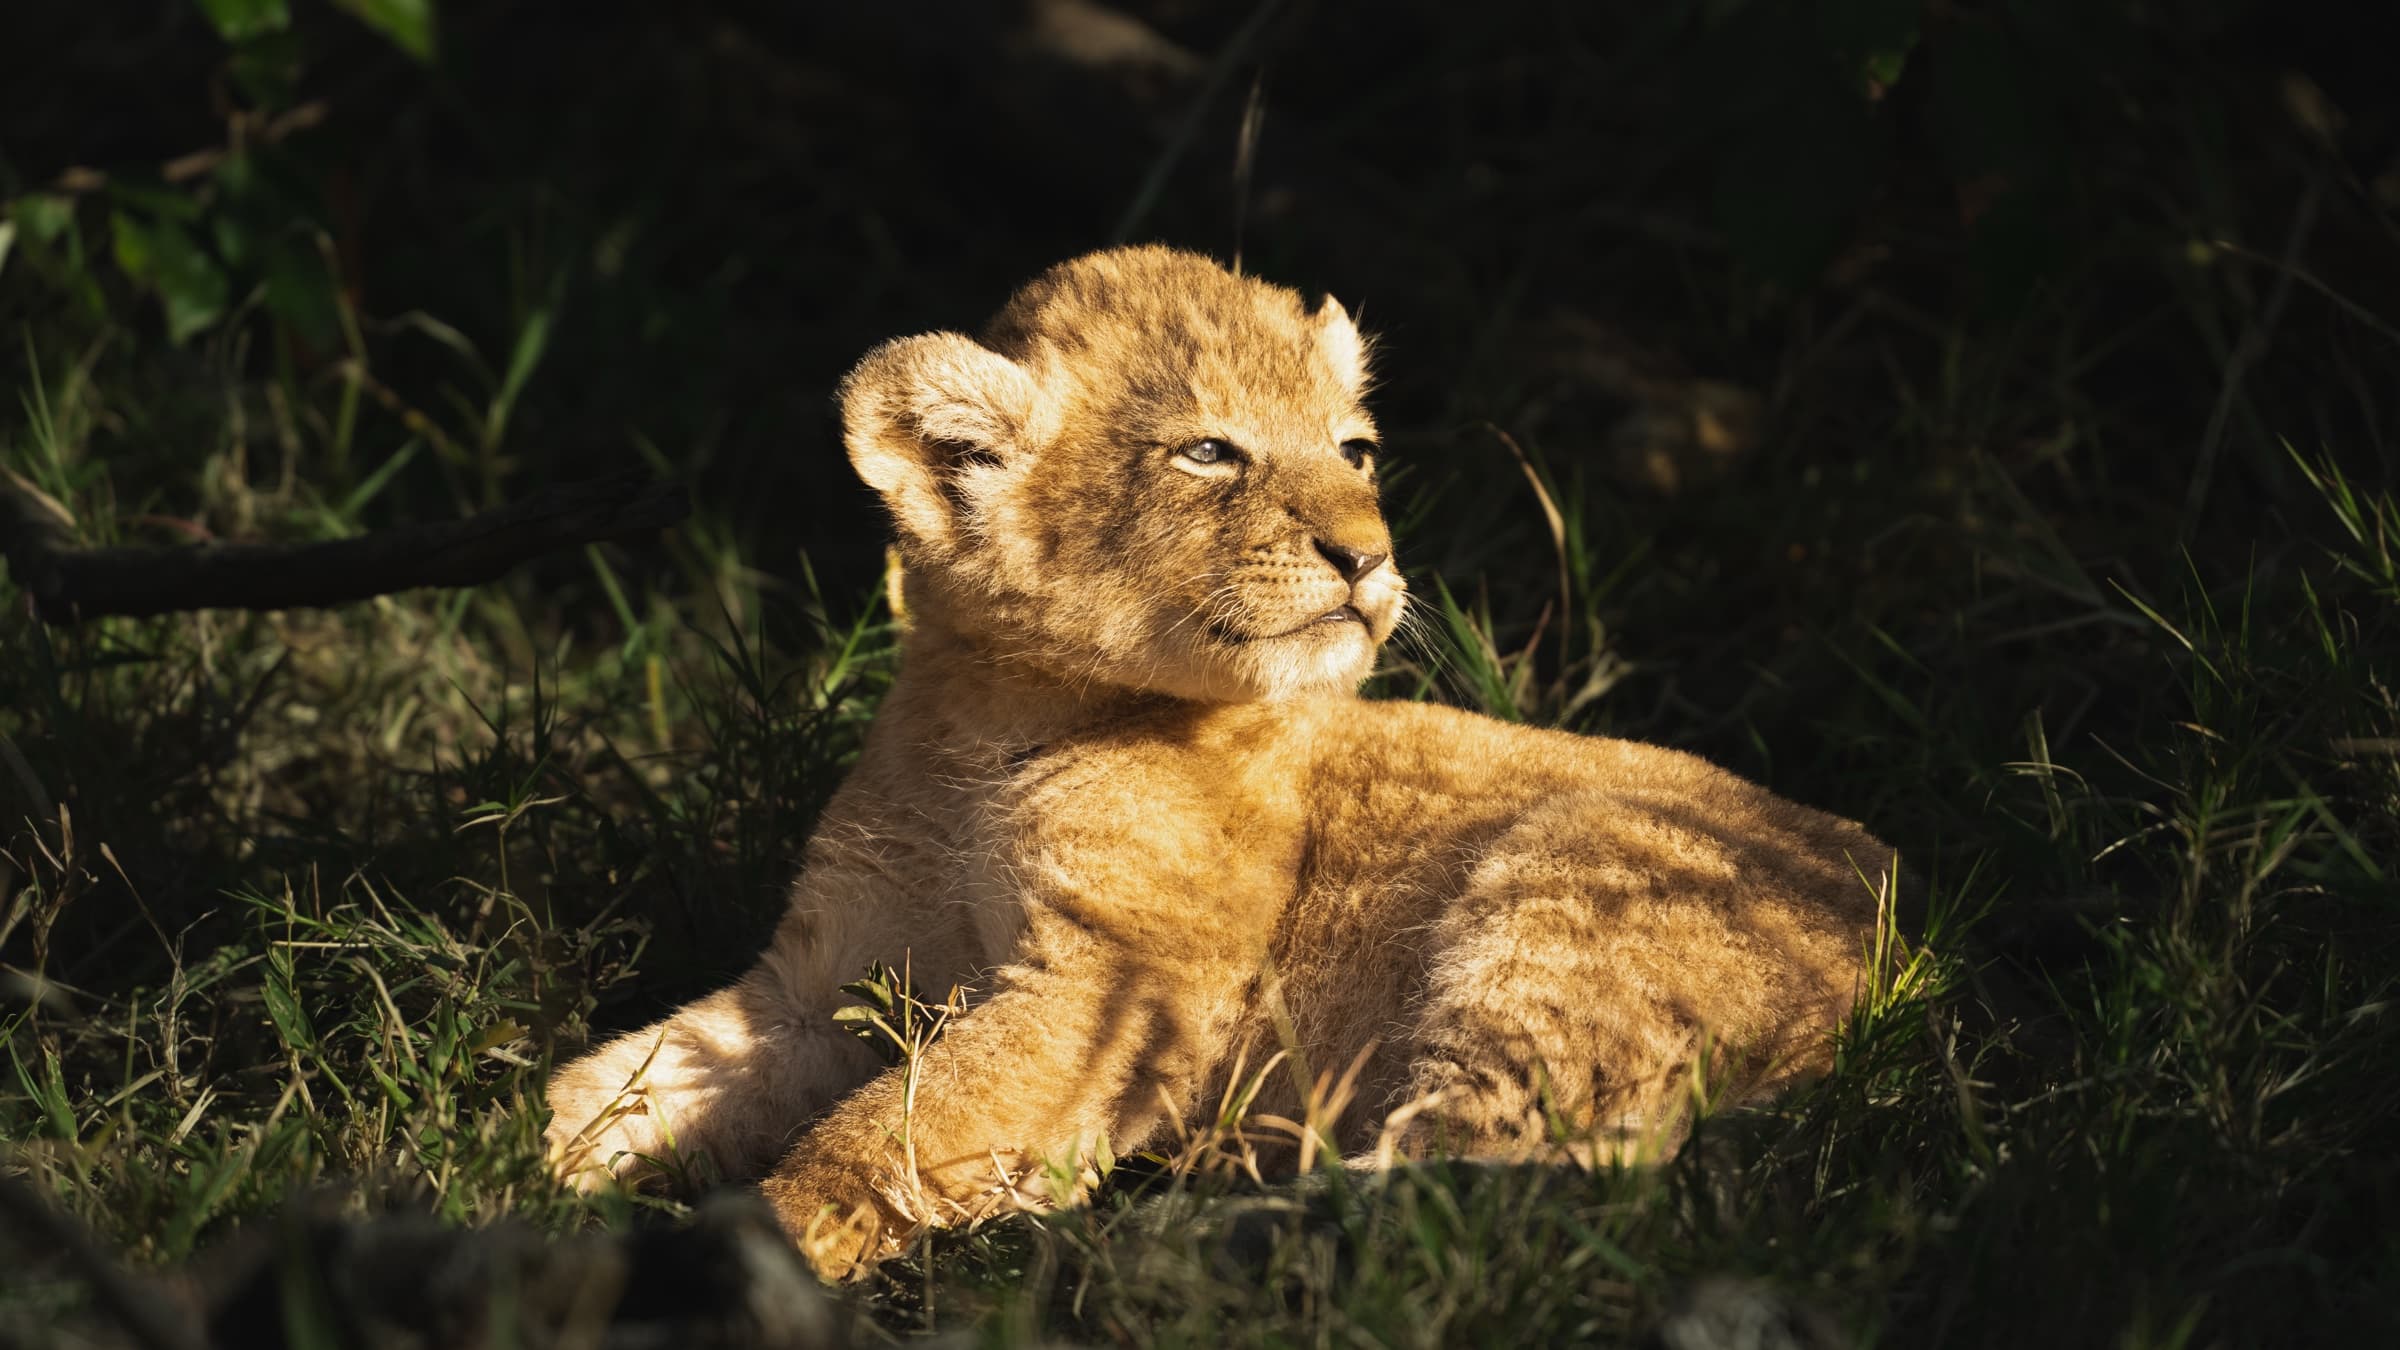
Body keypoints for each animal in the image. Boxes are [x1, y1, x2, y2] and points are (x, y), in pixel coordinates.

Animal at [542, 244, 1894, 1279]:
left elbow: (887, 1134)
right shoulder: (823, 981)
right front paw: (506, 1161)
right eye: (1209, 454)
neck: (990, 719)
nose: (1368, 556)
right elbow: (630, 1079)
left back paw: (1178, 1242)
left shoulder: (1119, 985)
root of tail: (1910, 940)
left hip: (1565, 904)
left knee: (1493, 1186)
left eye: (1355, 451)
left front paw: (750, 1249)